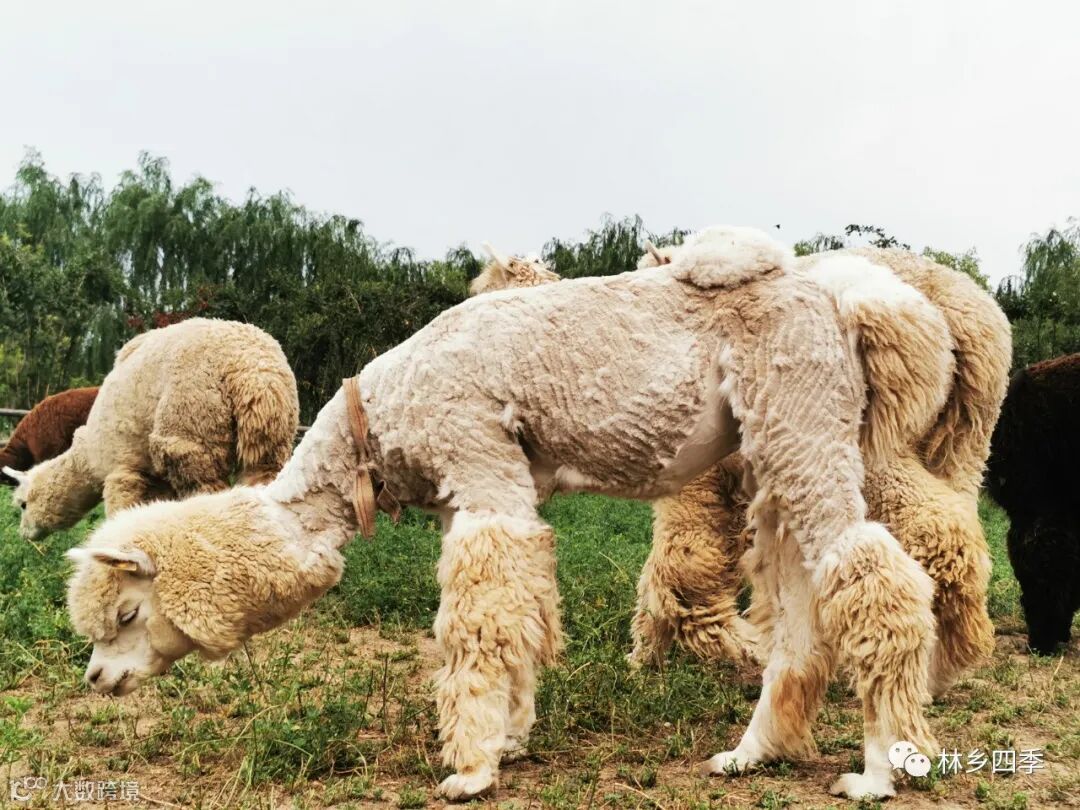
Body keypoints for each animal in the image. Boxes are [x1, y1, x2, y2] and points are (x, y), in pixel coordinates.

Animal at [7, 318, 298, 539]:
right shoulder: (154, 480)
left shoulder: (123, 469)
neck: (86, 455)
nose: (24, 535)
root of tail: (252, 372)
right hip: (269, 438)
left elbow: (120, 513)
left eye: (23, 504)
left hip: (190, 428)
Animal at [66, 226, 941, 801]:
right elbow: (516, 612)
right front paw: (512, 739)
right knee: (800, 612)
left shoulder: (479, 460)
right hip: (775, 455)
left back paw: (879, 770)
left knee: (881, 579)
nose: (98, 677)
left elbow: (476, 620)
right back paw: (751, 755)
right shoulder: (478, 496)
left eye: (127, 613)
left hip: (801, 423)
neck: (375, 425)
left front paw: (470, 770)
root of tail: (841, 299)